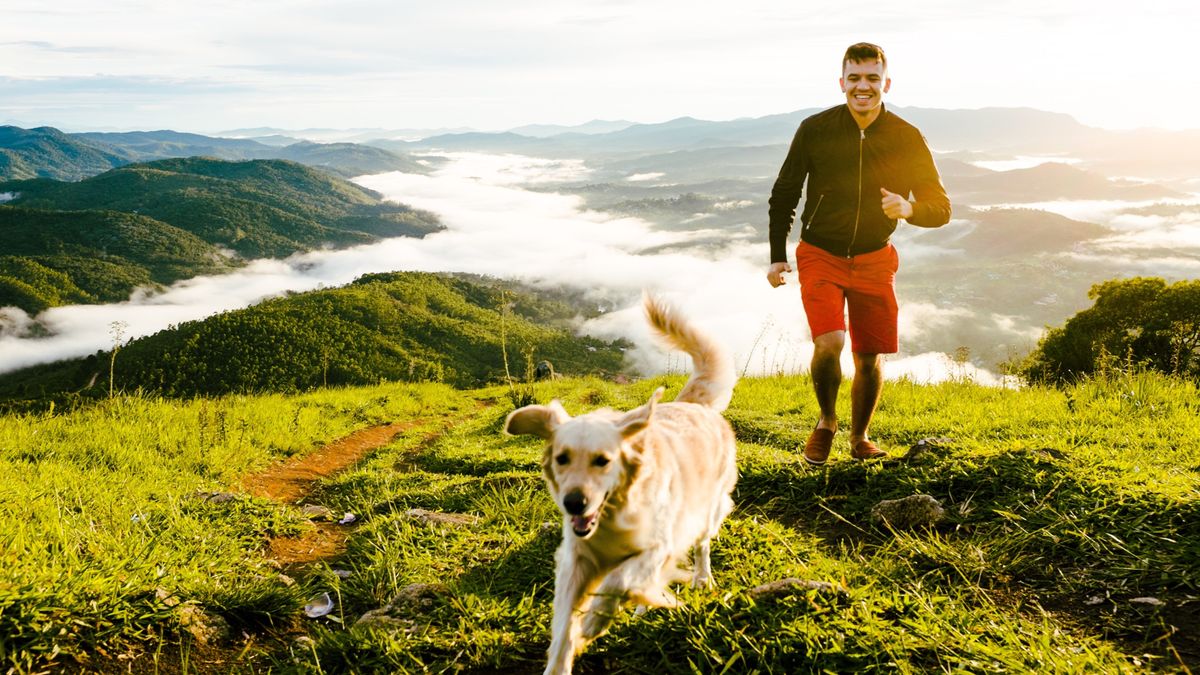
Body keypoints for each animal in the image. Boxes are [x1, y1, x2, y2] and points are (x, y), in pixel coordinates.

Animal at [501, 293, 734, 672]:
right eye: (562, 458)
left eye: (603, 460)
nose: (574, 503)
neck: (612, 516)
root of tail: (692, 405)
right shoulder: (576, 559)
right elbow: (564, 626)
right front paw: (563, 656)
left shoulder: (657, 547)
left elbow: (618, 580)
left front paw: (596, 620)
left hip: (708, 510)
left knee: (701, 547)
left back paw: (701, 578)